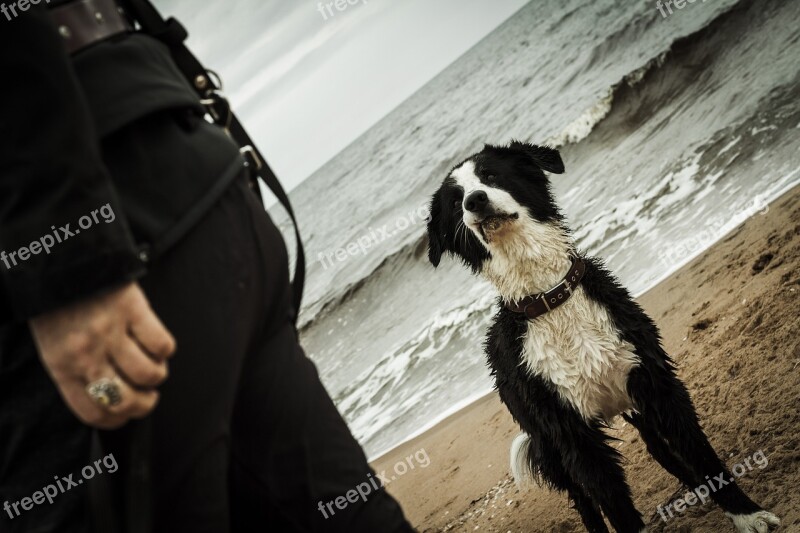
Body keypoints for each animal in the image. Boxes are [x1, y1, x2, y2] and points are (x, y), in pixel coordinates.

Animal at [428, 141, 780, 532]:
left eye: (490, 175)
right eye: (456, 203)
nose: (474, 201)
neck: (551, 298)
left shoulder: (655, 382)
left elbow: (701, 455)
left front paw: (746, 513)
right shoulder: (573, 436)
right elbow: (612, 503)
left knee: (659, 449)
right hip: (548, 444)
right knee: (582, 499)